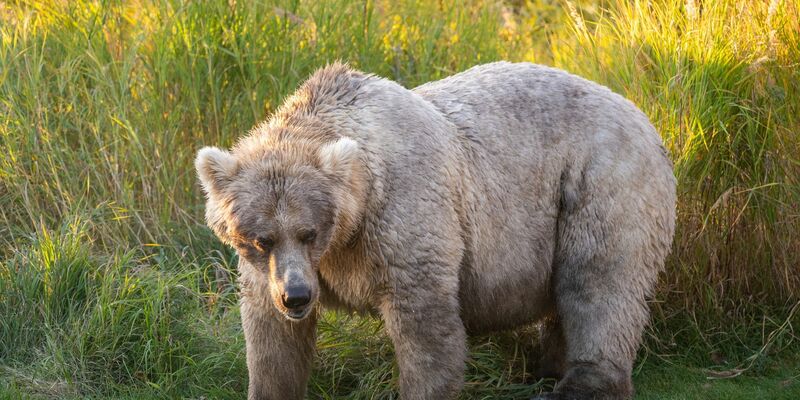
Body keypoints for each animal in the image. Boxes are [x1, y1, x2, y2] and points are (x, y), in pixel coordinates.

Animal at [195, 61, 676, 400]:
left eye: (309, 231)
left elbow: (425, 326)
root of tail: (644, 115)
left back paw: (580, 384)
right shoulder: (276, 271)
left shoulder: (403, 217)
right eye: (262, 238)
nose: (296, 296)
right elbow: (272, 342)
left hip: (597, 182)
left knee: (599, 283)